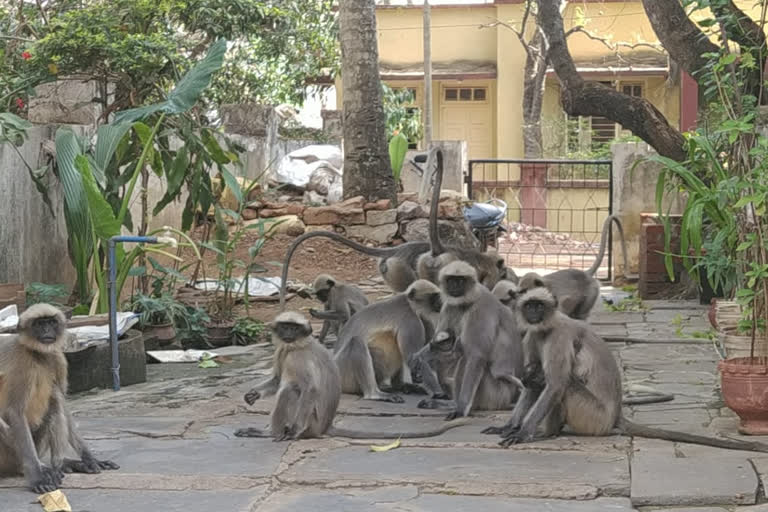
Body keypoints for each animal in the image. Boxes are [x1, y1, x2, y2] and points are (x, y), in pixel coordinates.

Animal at [0, 304, 118, 492]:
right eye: (39, 324)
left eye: (51, 322)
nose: (47, 330)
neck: (38, 355)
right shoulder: (20, 361)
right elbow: (14, 412)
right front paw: (36, 477)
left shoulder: (58, 358)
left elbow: (64, 404)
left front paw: (89, 458)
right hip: (9, 453)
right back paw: (40, 469)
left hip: (37, 446)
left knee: (55, 398)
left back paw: (60, 464)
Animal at [424, 262, 524, 418]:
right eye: (451, 280)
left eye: (460, 280)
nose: (455, 286)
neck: (467, 301)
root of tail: (509, 399)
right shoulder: (449, 305)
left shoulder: (481, 308)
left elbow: (477, 356)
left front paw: (461, 408)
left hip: (497, 394)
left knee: (467, 358)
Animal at [486, 288, 768, 452]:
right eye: (529, 305)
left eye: (539, 305)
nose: (533, 313)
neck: (546, 327)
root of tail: (615, 417)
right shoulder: (534, 335)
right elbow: (530, 383)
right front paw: (509, 426)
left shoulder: (558, 337)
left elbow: (555, 384)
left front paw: (523, 432)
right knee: (539, 378)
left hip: (593, 418)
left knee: (561, 385)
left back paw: (548, 433)